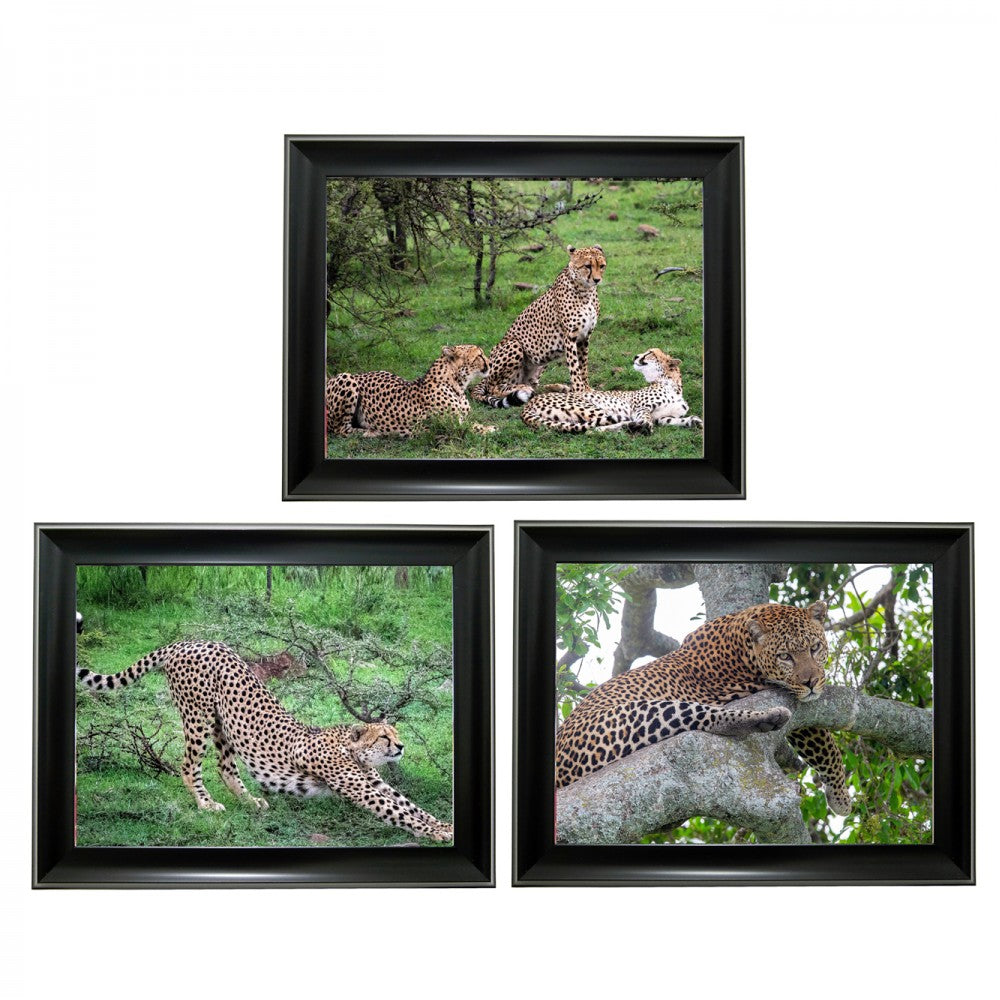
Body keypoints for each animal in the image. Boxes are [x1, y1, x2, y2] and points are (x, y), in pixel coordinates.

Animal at [77, 640, 454, 841]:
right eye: (385, 736)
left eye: (397, 734)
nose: (401, 747)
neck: (353, 749)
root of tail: (191, 640)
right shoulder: (360, 788)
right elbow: (399, 812)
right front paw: (436, 833)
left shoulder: (375, 783)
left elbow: (410, 805)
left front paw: (443, 824)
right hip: (197, 717)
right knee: (188, 764)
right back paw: (206, 804)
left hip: (224, 724)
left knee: (225, 767)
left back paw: (250, 801)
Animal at [326, 343, 493, 437]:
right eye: (479, 355)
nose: (491, 363)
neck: (457, 385)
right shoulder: (443, 427)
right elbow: (470, 428)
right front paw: (489, 429)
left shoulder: (463, 418)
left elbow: (473, 423)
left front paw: (487, 427)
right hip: (346, 377)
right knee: (340, 429)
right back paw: (373, 432)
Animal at [470, 244, 607, 408]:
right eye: (587, 266)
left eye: (602, 266)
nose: (597, 280)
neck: (586, 290)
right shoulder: (570, 337)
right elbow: (575, 368)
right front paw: (580, 390)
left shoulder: (584, 337)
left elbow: (583, 366)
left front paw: (586, 388)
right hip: (514, 344)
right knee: (495, 388)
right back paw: (523, 388)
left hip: (542, 359)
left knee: (534, 385)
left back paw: (559, 388)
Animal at [521, 347, 703, 434]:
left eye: (650, 353)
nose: (635, 356)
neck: (672, 385)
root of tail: (529, 403)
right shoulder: (640, 408)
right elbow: (646, 418)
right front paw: (644, 425)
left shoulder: (663, 417)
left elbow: (673, 420)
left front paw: (693, 421)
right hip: (593, 407)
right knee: (598, 425)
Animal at [555, 601, 851, 816]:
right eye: (785, 656)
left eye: (815, 648)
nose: (810, 681)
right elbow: (825, 744)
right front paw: (841, 797)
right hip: (635, 713)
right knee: (710, 716)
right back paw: (769, 717)